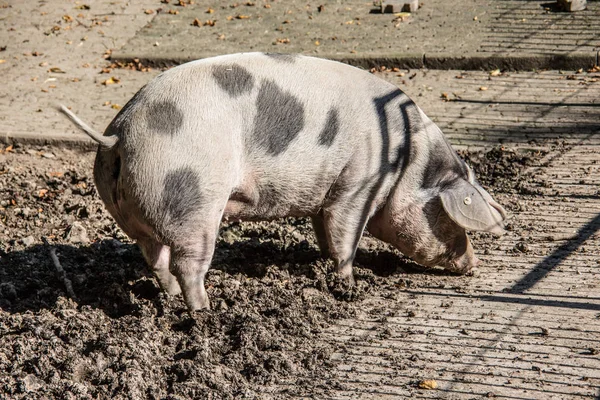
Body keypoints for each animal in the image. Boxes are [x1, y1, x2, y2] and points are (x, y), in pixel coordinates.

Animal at [58, 51, 506, 310]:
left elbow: (326, 230)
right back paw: (207, 311)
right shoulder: (358, 183)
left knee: (154, 258)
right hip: (192, 201)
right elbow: (346, 234)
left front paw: (323, 264)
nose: (474, 264)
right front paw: (349, 284)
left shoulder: (327, 193)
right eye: (449, 217)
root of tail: (118, 134)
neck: (405, 162)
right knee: (187, 264)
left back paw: (169, 297)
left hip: (145, 213)